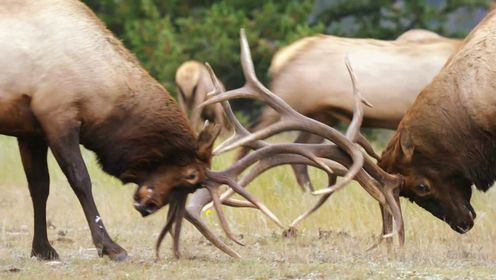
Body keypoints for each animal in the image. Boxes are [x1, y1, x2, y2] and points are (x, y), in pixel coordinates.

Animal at [0, 0, 280, 262]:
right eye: (191, 175)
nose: (148, 206)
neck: (101, 91)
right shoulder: (57, 114)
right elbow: (81, 180)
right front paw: (110, 247)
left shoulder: (31, 131)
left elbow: (39, 186)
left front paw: (43, 249)